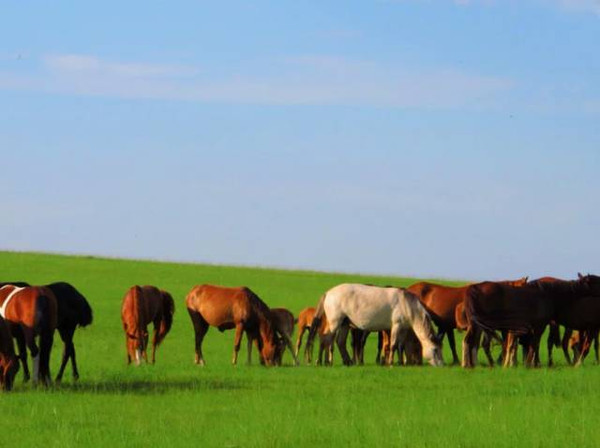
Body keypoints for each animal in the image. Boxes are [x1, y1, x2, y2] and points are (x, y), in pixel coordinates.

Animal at [308, 286, 442, 366]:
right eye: (435, 349)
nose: (441, 364)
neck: (406, 304)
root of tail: (328, 293)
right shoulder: (396, 326)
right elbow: (393, 345)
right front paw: (391, 363)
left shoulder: (403, 328)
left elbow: (401, 345)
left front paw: (402, 363)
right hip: (335, 323)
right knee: (326, 339)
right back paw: (323, 361)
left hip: (345, 324)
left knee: (340, 342)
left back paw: (348, 362)